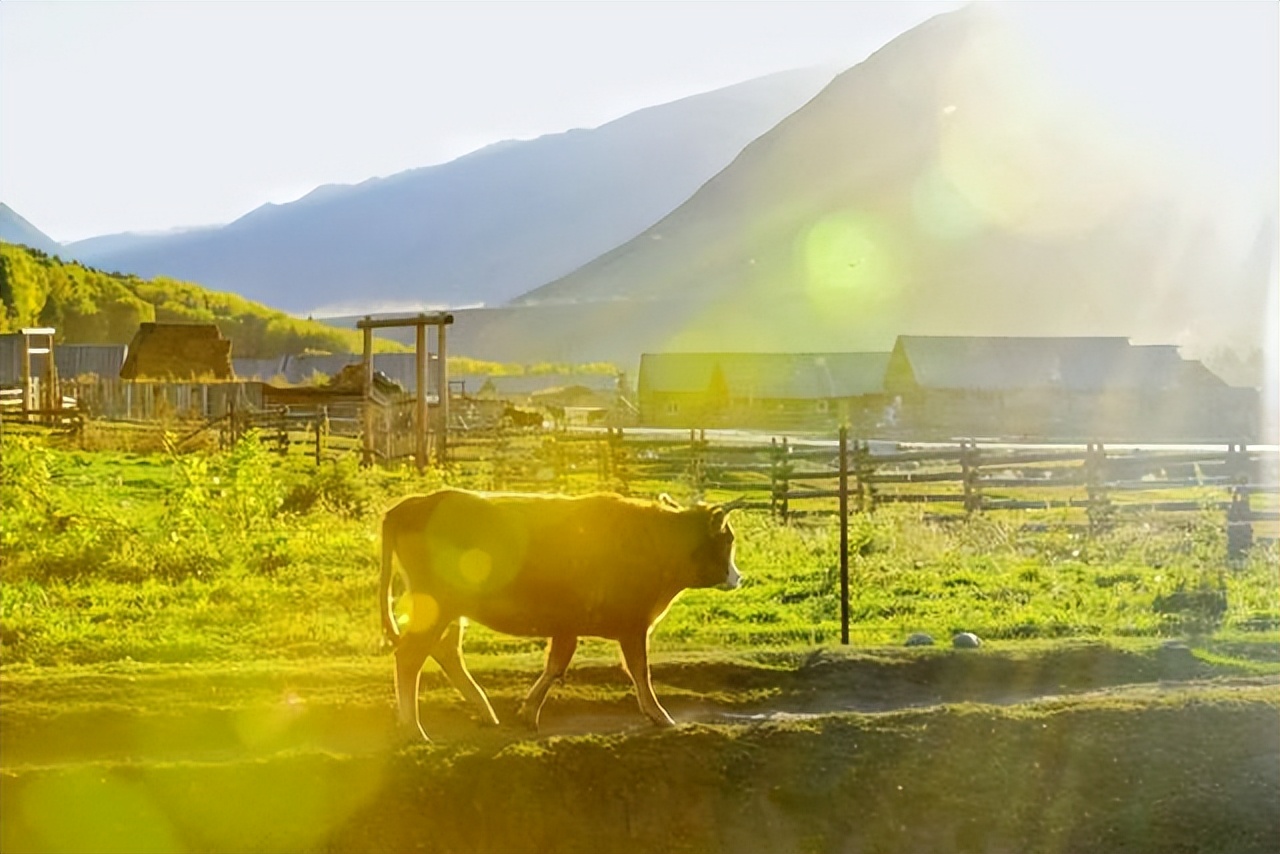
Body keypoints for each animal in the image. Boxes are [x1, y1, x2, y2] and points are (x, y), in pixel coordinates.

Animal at [376, 486, 742, 742]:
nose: (738, 577)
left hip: (450, 611)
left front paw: (528, 711)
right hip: (438, 605)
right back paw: (413, 727)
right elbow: (640, 671)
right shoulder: (633, 625)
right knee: (410, 656)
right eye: (728, 541)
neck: (658, 541)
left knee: (446, 652)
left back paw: (484, 712)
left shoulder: (568, 624)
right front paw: (659, 715)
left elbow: (556, 665)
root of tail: (412, 505)